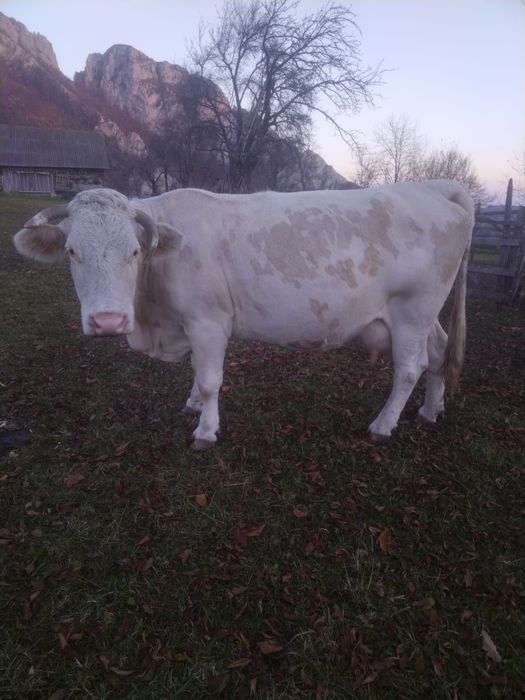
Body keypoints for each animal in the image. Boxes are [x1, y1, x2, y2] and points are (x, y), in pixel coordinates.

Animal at [14, 180, 474, 450]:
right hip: (425, 315)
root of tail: (435, 188)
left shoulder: (208, 321)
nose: (108, 321)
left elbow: (211, 379)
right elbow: (198, 375)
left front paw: (205, 430)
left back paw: (382, 424)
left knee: (410, 368)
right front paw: (192, 404)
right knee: (438, 354)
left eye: (134, 251)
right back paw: (430, 411)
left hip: (412, 310)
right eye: (72, 251)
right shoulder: (191, 325)